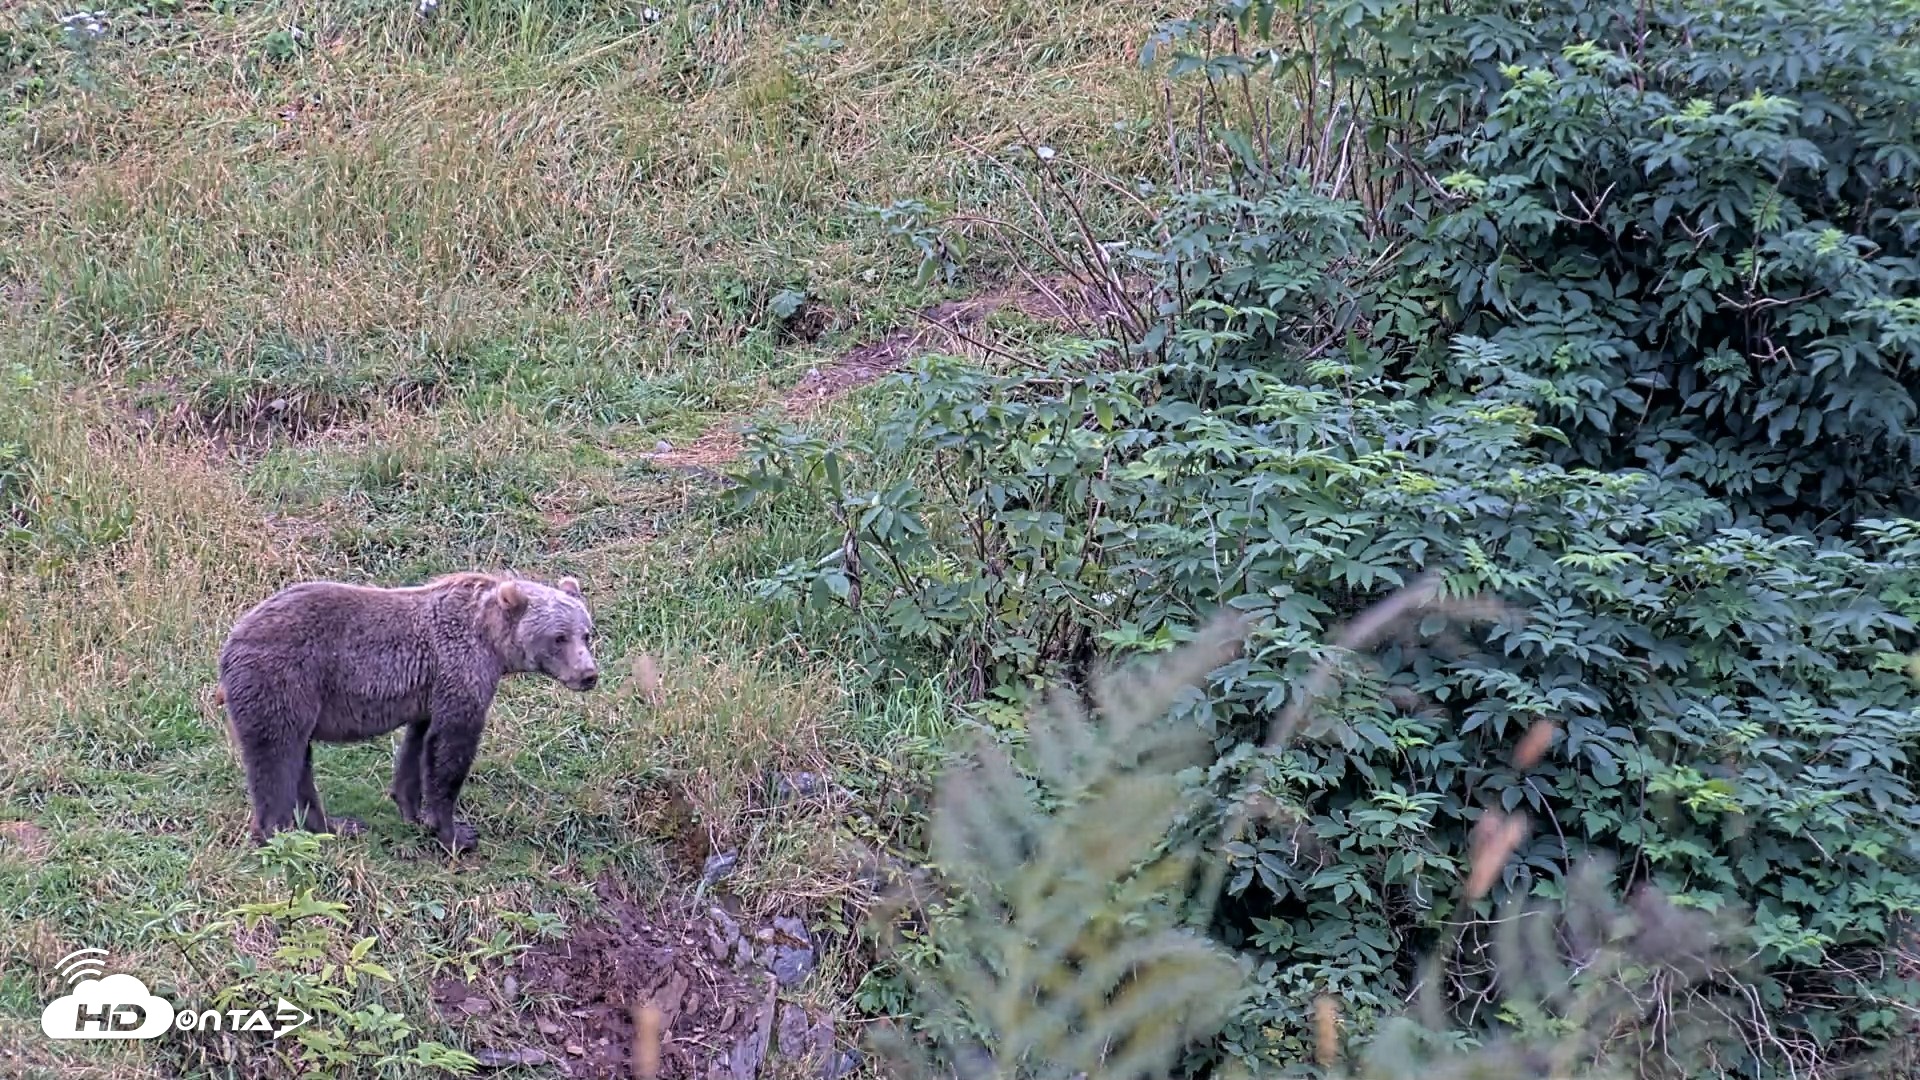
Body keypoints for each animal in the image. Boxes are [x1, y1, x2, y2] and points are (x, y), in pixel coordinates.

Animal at [214, 571, 600, 854]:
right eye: (559, 637)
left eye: (586, 633)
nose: (588, 674)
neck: (493, 642)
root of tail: (230, 641)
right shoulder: (459, 669)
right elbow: (451, 748)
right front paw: (456, 833)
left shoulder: (429, 689)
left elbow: (419, 745)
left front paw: (411, 809)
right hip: (283, 680)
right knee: (277, 756)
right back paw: (279, 835)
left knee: (299, 761)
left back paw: (335, 826)